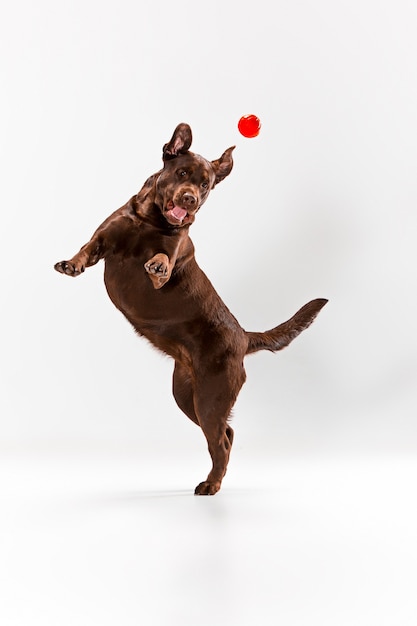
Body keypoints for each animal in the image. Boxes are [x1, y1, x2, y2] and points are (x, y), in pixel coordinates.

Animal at [53, 122, 326, 492]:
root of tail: (244, 336)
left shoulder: (173, 248)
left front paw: (156, 265)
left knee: (220, 441)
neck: (150, 220)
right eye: (182, 173)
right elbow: (87, 247)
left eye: (205, 184)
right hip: (186, 396)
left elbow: (162, 259)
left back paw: (211, 484)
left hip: (210, 397)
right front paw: (71, 264)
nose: (190, 199)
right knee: (227, 432)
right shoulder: (106, 236)